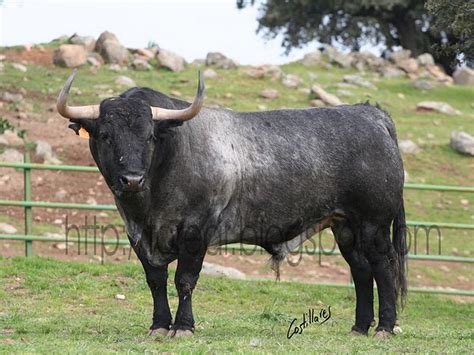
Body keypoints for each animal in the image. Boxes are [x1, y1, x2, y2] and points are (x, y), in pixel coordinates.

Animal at [55, 70, 406, 340]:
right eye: (105, 135)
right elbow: (155, 281)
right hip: (344, 226)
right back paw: (359, 327)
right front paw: (159, 325)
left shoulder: (195, 231)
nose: (131, 179)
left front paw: (183, 327)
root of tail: (371, 113)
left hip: (373, 224)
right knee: (361, 269)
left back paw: (384, 328)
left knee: (382, 266)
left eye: (150, 136)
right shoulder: (138, 234)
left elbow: (185, 279)